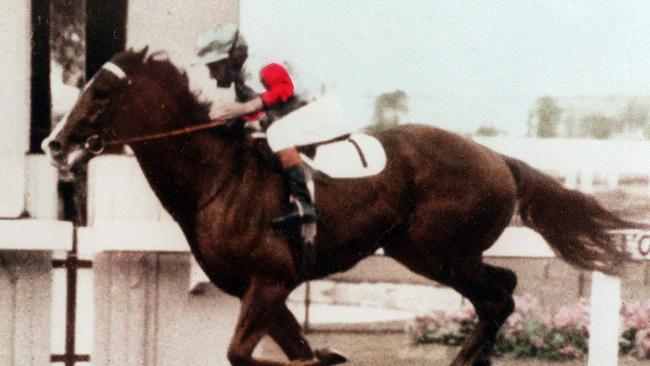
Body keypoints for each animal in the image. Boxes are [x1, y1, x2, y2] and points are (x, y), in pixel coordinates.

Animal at [44, 49, 632, 366]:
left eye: (99, 94)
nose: (54, 143)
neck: (218, 179)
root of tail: (497, 157)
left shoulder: (270, 279)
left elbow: (241, 353)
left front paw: (326, 353)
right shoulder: (261, 288)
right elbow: (291, 348)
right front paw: (323, 353)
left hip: (437, 251)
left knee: (498, 297)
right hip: (427, 251)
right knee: (500, 293)